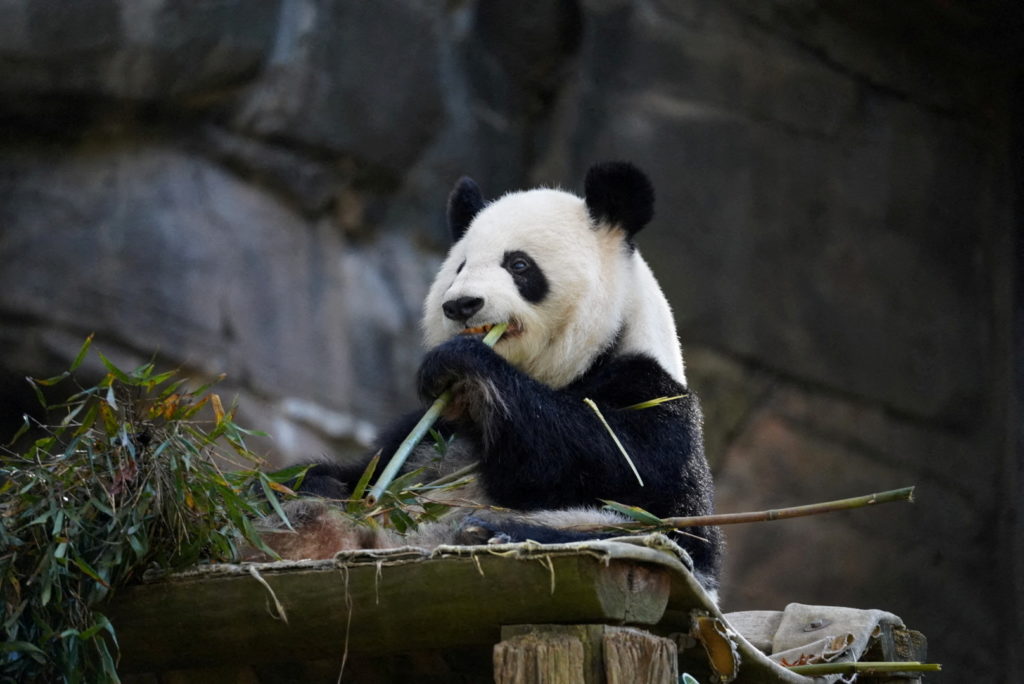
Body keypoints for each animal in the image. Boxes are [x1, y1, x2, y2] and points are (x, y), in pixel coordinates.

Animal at [266, 162, 723, 594]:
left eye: (519, 265)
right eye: (459, 268)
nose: (462, 305)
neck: (569, 370)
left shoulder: (649, 393)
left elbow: (623, 469)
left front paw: (459, 361)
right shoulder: (428, 430)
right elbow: (365, 473)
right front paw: (296, 483)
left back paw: (483, 532)